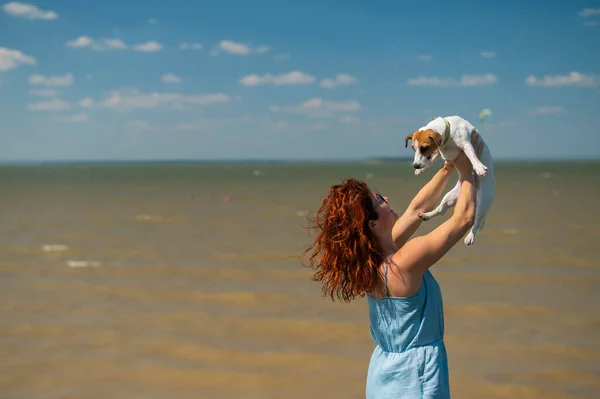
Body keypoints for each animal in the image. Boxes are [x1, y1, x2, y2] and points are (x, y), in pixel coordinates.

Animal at [406, 115, 494, 247]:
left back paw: (470, 236)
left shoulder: (466, 144)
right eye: (413, 148)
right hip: (450, 196)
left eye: (424, 148)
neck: (449, 131)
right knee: (441, 210)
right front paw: (421, 170)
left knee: (476, 221)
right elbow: (431, 159)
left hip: (482, 202)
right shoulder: (438, 150)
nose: (415, 165)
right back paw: (427, 215)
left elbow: (472, 155)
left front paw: (478, 167)